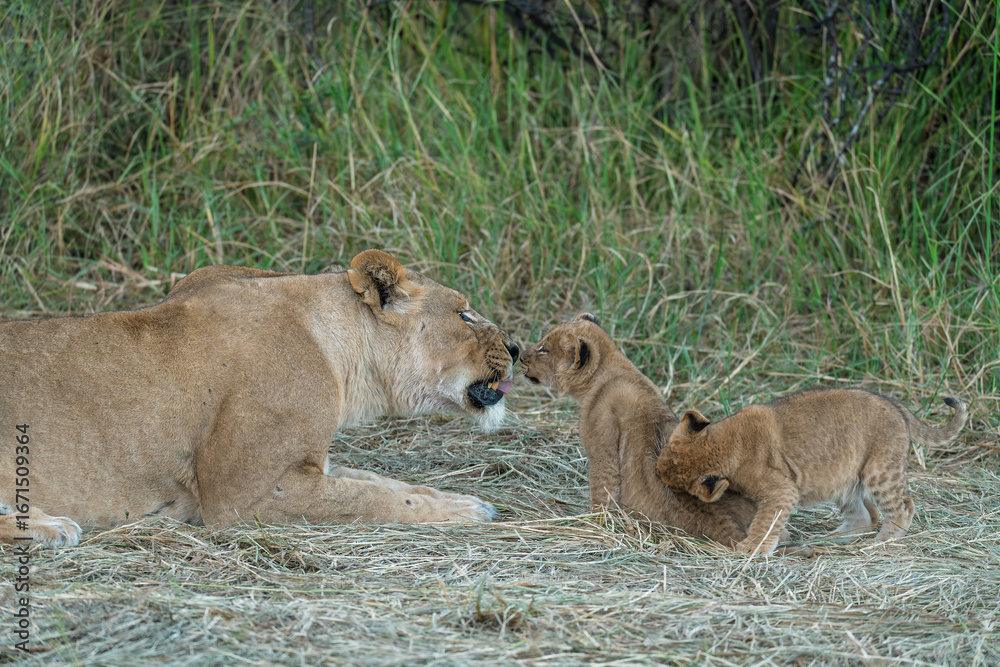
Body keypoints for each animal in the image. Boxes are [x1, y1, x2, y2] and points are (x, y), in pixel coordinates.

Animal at [0, 250, 519, 547]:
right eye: (464, 314)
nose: (515, 348)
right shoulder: (245, 493)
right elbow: (371, 498)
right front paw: (463, 513)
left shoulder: (312, 463)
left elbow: (384, 483)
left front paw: (462, 499)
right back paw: (50, 527)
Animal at [520, 313, 767, 547]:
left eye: (544, 349)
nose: (521, 357)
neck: (612, 369)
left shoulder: (602, 445)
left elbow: (602, 490)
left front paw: (592, 525)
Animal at [657, 388, 967, 555]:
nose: (657, 474)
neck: (721, 442)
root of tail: (896, 405)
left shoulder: (782, 490)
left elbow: (765, 521)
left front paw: (753, 548)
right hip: (842, 476)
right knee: (865, 516)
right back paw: (827, 539)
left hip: (880, 470)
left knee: (903, 507)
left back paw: (881, 541)